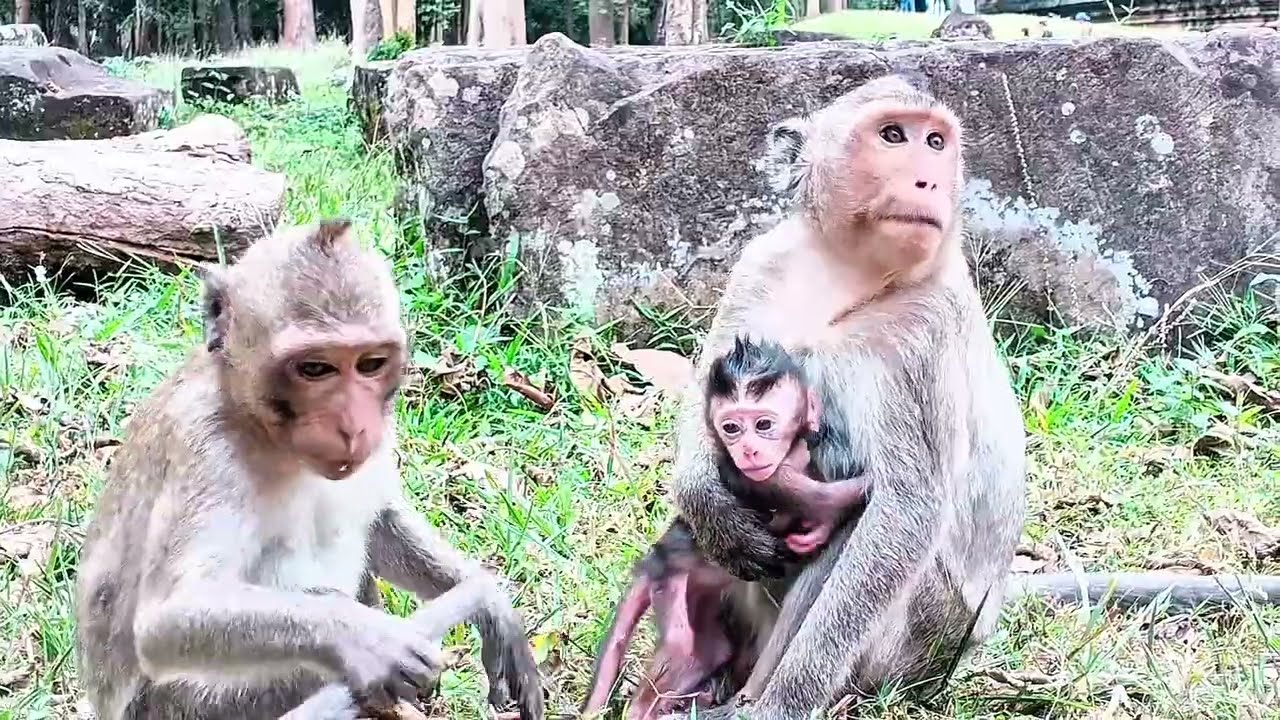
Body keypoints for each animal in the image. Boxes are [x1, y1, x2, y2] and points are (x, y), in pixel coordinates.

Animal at [72, 219, 545, 720]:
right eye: (315, 369)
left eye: (371, 364)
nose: (353, 426)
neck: (260, 427)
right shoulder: (205, 448)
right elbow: (164, 621)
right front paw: (365, 639)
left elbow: (380, 523)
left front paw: (491, 602)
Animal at [656, 74, 1029, 719]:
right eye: (893, 135)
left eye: (935, 142)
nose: (929, 178)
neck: (846, 276)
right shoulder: (759, 269)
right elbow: (707, 420)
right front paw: (711, 506)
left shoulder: (924, 331)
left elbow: (905, 511)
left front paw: (786, 702)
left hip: (921, 644)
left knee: (853, 522)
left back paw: (755, 696)